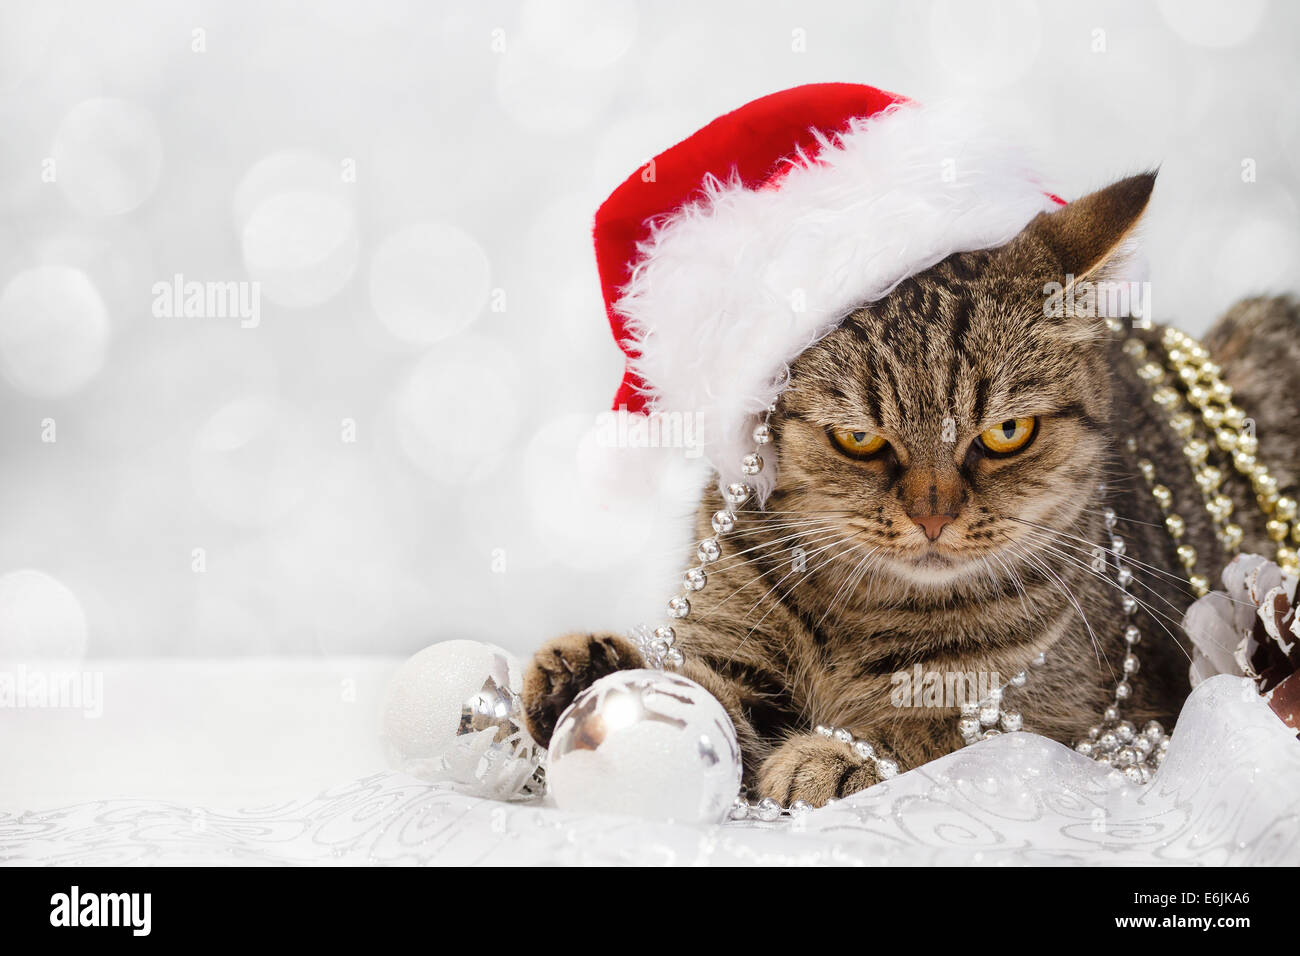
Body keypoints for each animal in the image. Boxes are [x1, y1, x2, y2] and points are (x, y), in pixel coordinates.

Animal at [520, 171, 1300, 806]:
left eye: (1006, 432)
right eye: (859, 439)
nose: (933, 516)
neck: (863, 610)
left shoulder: (1097, 720)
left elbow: (946, 730)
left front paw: (835, 755)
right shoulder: (726, 637)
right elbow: (694, 687)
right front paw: (594, 676)